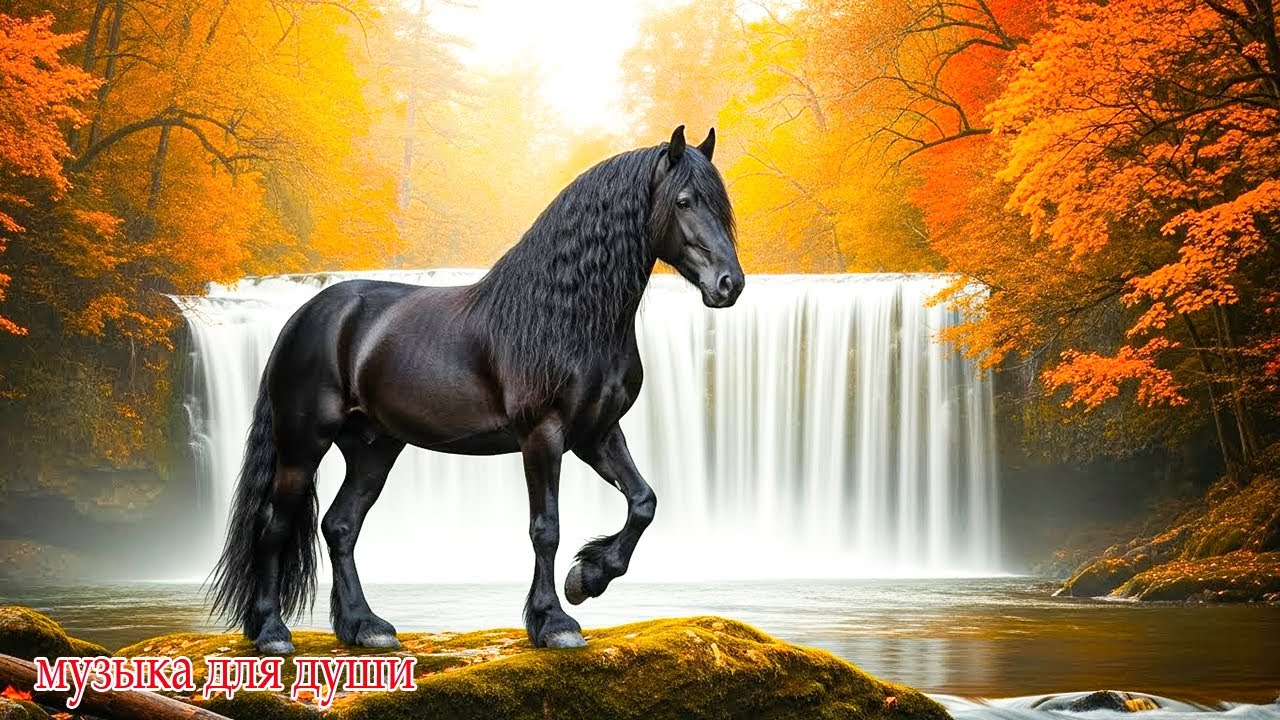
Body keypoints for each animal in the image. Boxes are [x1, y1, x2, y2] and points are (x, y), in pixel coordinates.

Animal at [208, 126, 744, 653]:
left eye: (722, 204)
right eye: (684, 201)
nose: (730, 284)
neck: (567, 317)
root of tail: (303, 316)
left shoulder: (597, 433)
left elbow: (644, 502)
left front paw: (587, 577)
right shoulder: (543, 435)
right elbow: (546, 528)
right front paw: (554, 622)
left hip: (372, 448)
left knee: (340, 527)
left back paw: (365, 626)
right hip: (303, 446)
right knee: (274, 525)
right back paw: (272, 632)